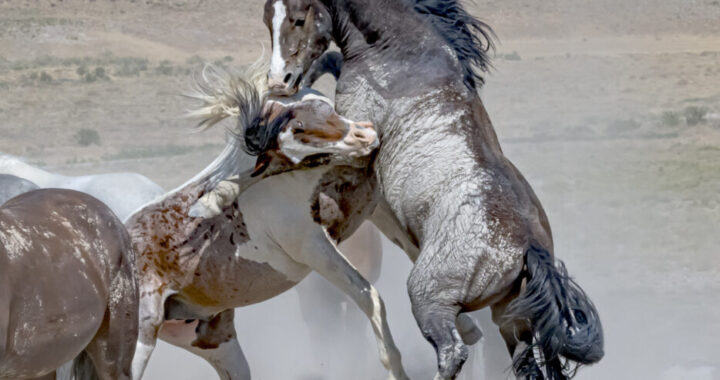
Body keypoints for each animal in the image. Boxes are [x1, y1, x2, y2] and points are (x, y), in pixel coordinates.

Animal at [126, 66, 408, 380]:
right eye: (298, 141)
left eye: (314, 110)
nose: (365, 136)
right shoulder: (314, 249)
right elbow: (369, 298)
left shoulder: (376, 208)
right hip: (141, 340)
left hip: (210, 339)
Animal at [262, 1, 600, 378]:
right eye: (267, 18)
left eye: (297, 18)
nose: (280, 81)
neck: (397, 49)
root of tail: (529, 247)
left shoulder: (358, 133)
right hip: (512, 320)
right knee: (525, 364)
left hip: (430, 299)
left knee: (452, 352)